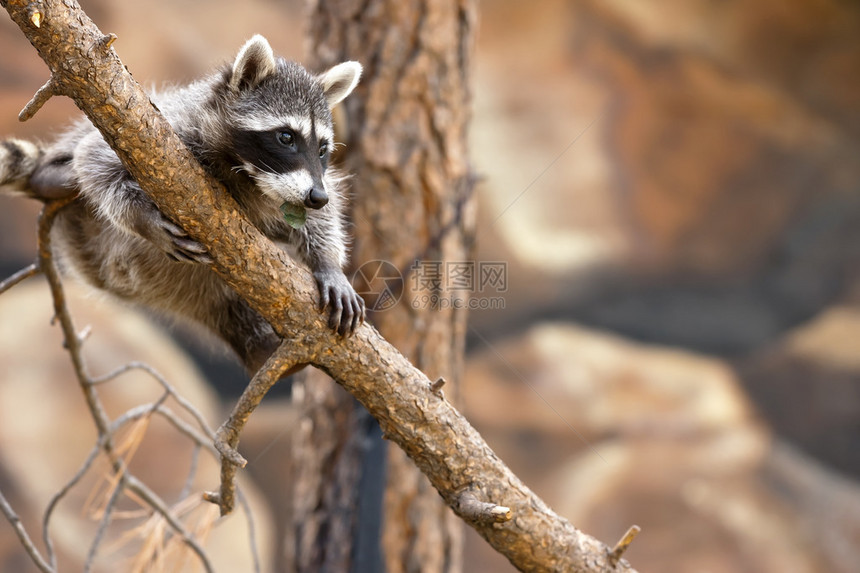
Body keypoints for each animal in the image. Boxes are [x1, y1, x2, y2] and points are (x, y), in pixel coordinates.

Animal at [0, 35, 366, 374]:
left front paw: (328, 262)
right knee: (81, 152)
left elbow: (321, 218)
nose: (316, 197)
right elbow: (95, 156)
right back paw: (54, 175)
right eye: (286, 137)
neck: (249, 174)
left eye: (322, 148)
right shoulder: (170, 129)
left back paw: (259, 350)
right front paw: (142, 217)